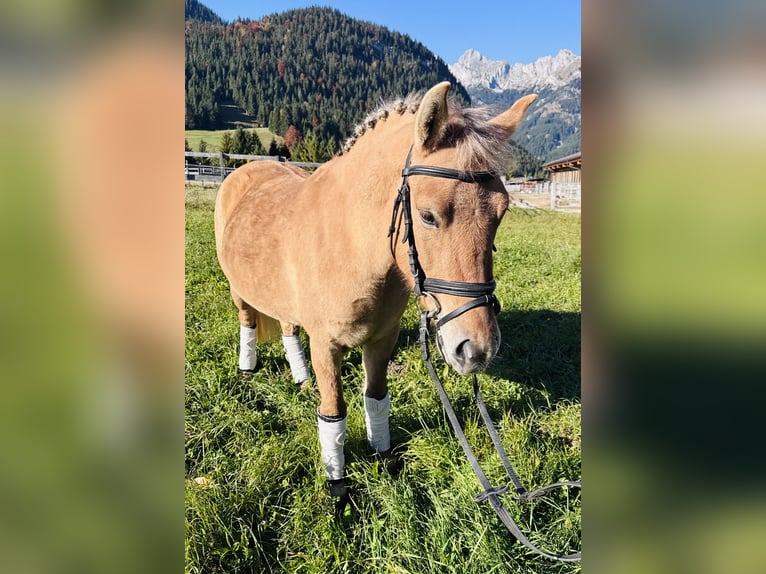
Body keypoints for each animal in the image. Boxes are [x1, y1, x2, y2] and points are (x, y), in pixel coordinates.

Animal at [214, 82, 536, 507]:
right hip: (239, 292)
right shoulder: (326, 346)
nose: (477, 350)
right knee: (248, 321)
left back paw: (301, 378)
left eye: (501, 214)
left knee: (287, 328)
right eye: (427, 215)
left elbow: (377, 398)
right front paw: (337, 486)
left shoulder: (383, 339)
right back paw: (248, 368)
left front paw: (384, 458)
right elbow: (333, 413)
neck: (353, 248)